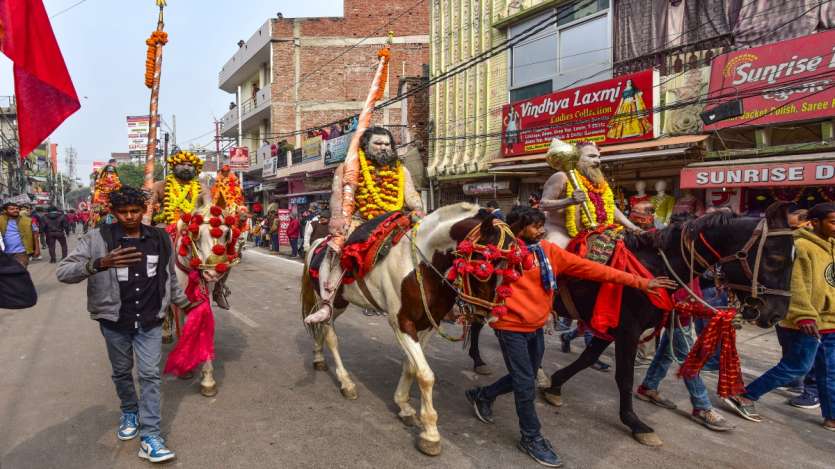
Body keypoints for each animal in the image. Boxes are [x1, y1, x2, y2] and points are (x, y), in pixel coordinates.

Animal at [300, 203, 524, 456]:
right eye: (485, 266)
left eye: (515, 269)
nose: (493, 314)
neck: (421, 266)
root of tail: (317, 244)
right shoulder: (402, 323)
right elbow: (425, 375)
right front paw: (430, 433)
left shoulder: (427, 325)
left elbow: (411, 367)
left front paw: (403, 405)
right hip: (331, 300)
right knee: (330, 334)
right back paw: (346, 382)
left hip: (340, 304)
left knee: (320, 328)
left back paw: (318, 357)